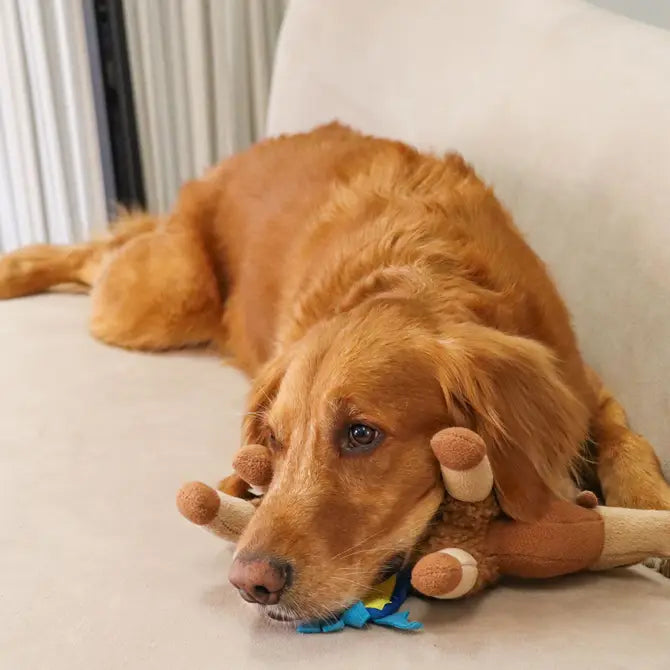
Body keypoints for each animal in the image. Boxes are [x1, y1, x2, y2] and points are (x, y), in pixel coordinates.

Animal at [1, 122, 670, 624]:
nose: (250, 582)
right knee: (98, 254)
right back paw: (17, 270)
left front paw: (651, 506)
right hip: (162, 297)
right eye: (272, 441)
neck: (424, 272)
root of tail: (228, 162)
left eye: (361, 434)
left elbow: (629, 440)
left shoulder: (581, 383)